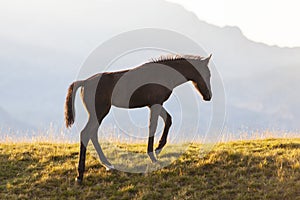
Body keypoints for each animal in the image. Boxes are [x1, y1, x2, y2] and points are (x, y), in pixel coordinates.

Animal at [64, 54, 212, 182]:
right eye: (207, 74)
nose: (208, 96)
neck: (162, 74)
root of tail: (84, 82)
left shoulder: (155, 104)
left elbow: (168, 120)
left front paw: (158, 148)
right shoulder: (155, 104)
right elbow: (153, 126)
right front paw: (153, 156)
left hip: (98, 113)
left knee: (92, 134)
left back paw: (107, 165)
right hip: (99, 112)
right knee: (86, 133)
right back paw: (80, 175)